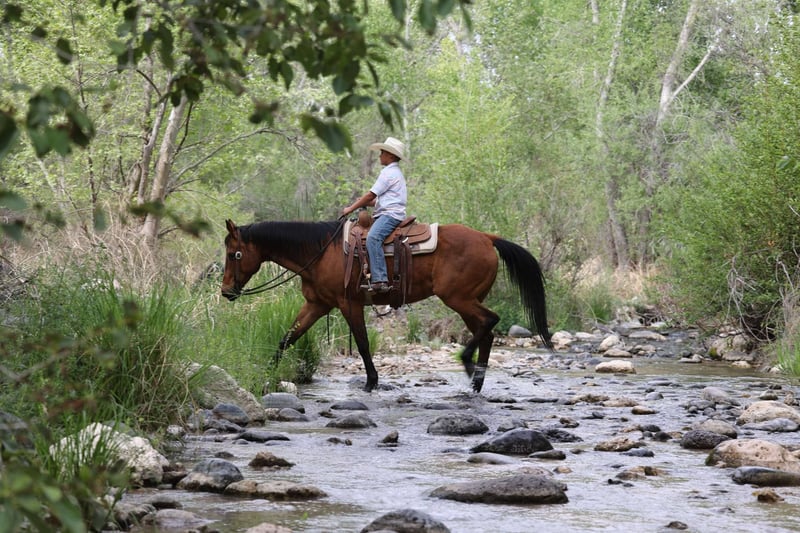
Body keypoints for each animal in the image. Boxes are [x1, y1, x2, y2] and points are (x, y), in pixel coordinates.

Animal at [220, 218, 553, 393]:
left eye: (235, 254)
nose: (226, 292)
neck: (320, 252)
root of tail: (487, 237)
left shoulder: (348, 303)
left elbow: (363, 343)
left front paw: (371, 382)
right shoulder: (317, 305)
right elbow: (288, 338)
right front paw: (265, 375)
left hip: (459, 298)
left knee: (489, 322)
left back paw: (468, 364)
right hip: (468, 300)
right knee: (486, 331)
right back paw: (476, 381)